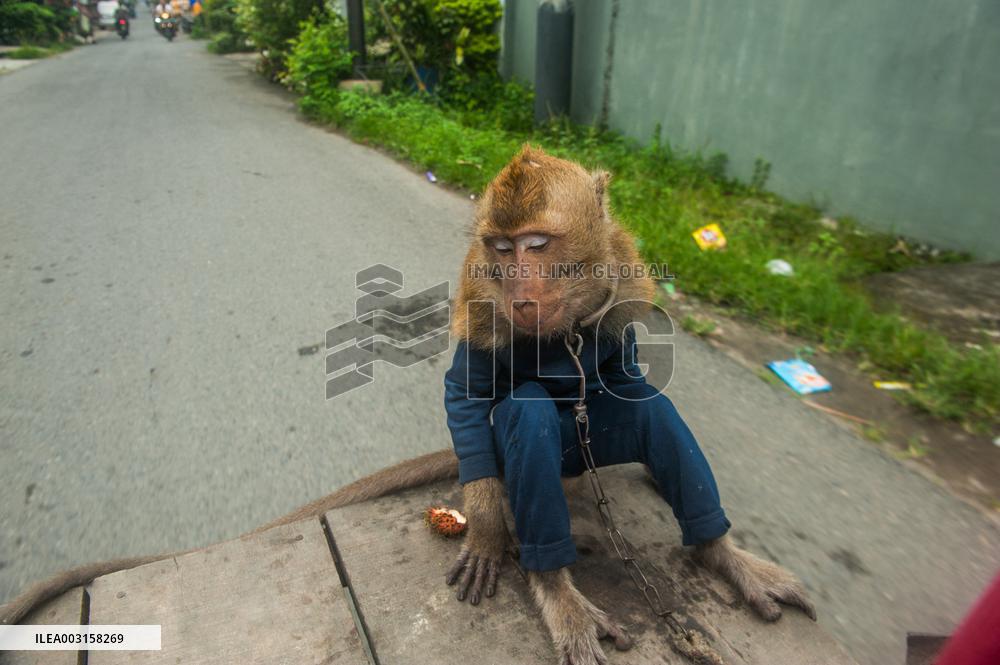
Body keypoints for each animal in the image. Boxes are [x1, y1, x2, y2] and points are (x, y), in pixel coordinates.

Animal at [441, 145, 815, 665]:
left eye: (535, 245)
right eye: (500, 247)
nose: (518, 291)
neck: (569, 326)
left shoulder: (622, 283)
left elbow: (627, 378)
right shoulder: (478, 299)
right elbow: (465, 395)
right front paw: (486, 530)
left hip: (589, 453)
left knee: (651, 410)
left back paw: (720, 554)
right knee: (526, 411)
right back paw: (558, 592)